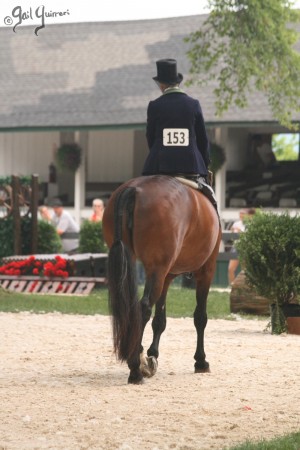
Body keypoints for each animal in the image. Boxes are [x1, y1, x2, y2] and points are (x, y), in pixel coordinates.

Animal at [102, 175, 221, 384]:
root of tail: (135, 188)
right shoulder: (206, 271)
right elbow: (200, 317)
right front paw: (201, 361)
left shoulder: (166, 276)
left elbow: (160, 320)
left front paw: (152, 355)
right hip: (159, 269)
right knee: (143, 307)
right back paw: (135, 369)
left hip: (136, 263)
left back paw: (137, 357)